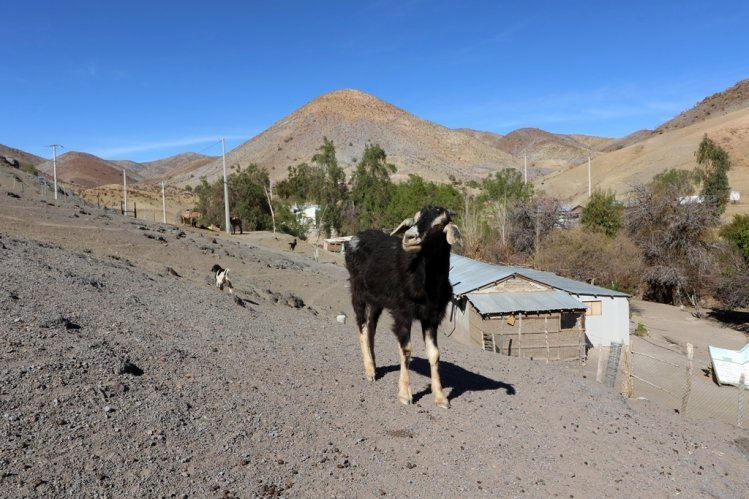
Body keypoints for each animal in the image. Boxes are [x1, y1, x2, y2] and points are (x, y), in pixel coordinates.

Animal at [346, 205, 462, 408]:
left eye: (439, 225)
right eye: (414, 220)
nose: (409, 237)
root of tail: (356, 237)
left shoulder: (431, 317)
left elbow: (435, 354)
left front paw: (441, 397)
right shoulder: (403, 313)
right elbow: (406, 349)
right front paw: (405, 394)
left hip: (376, 299)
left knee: (371, 327)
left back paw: (375, 366)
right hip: (357, 290)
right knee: (361, 326)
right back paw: (369, 370)